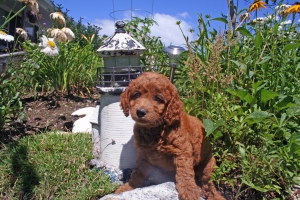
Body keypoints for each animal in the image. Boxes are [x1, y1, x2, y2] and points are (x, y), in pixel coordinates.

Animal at [116, 72, 224, 200]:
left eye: (158, 99)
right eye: (136, 95)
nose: (140, 112)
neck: (155, 130)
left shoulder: (182, 152)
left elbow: (185, 172)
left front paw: (189, 191)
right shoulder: (143, 155)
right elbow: (138, 173)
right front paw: (127, 188)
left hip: (208, 166)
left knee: (209, 183)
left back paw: (213, 195)